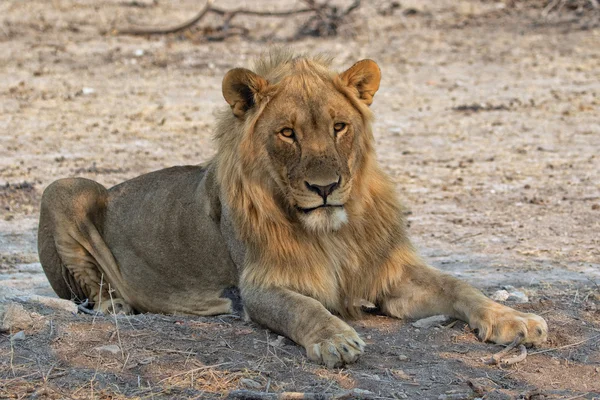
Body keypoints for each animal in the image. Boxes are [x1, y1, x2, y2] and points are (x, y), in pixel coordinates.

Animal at [35, 51, 548, 368]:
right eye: (288, 133)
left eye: (339, 126)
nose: (325, 188)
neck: (334, 230)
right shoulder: (260, 286)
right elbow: (303, 307)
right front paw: (335, 338)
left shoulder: (389, 274)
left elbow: (459, 285)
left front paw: (514, 320)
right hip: (64, 186)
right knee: (87, 285)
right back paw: (115, 305)